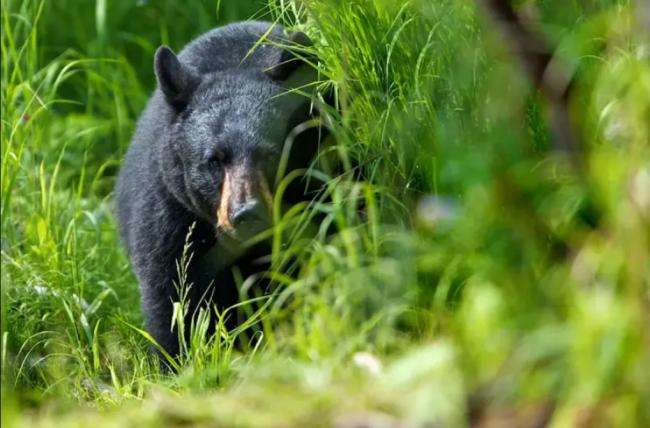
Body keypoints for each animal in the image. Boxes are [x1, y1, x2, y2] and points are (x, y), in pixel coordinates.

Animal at [115, 21, 322, 361]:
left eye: (270, 154)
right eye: (214, 160)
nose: (247, 213)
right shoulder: (171, 216)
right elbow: (171, 298)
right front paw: (176, 361)